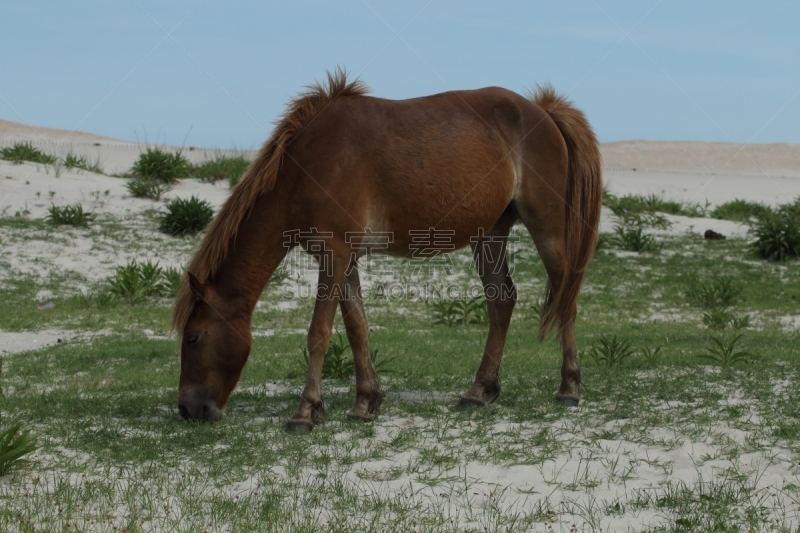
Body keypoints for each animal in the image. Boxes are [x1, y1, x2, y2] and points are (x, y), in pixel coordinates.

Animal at [175, 70, 600, 430]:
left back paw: (568, 388)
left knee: (565, 294)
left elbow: (319, 333)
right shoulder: (344, 259)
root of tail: (542, 110)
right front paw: (365, 401)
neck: (308, 166)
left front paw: (305, 411)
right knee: (502, 300)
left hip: (546, 225)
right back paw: (480, 391)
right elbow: (356, 327)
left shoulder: (334, 254)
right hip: (490, 234)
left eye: (193, 337)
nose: (187, 409)